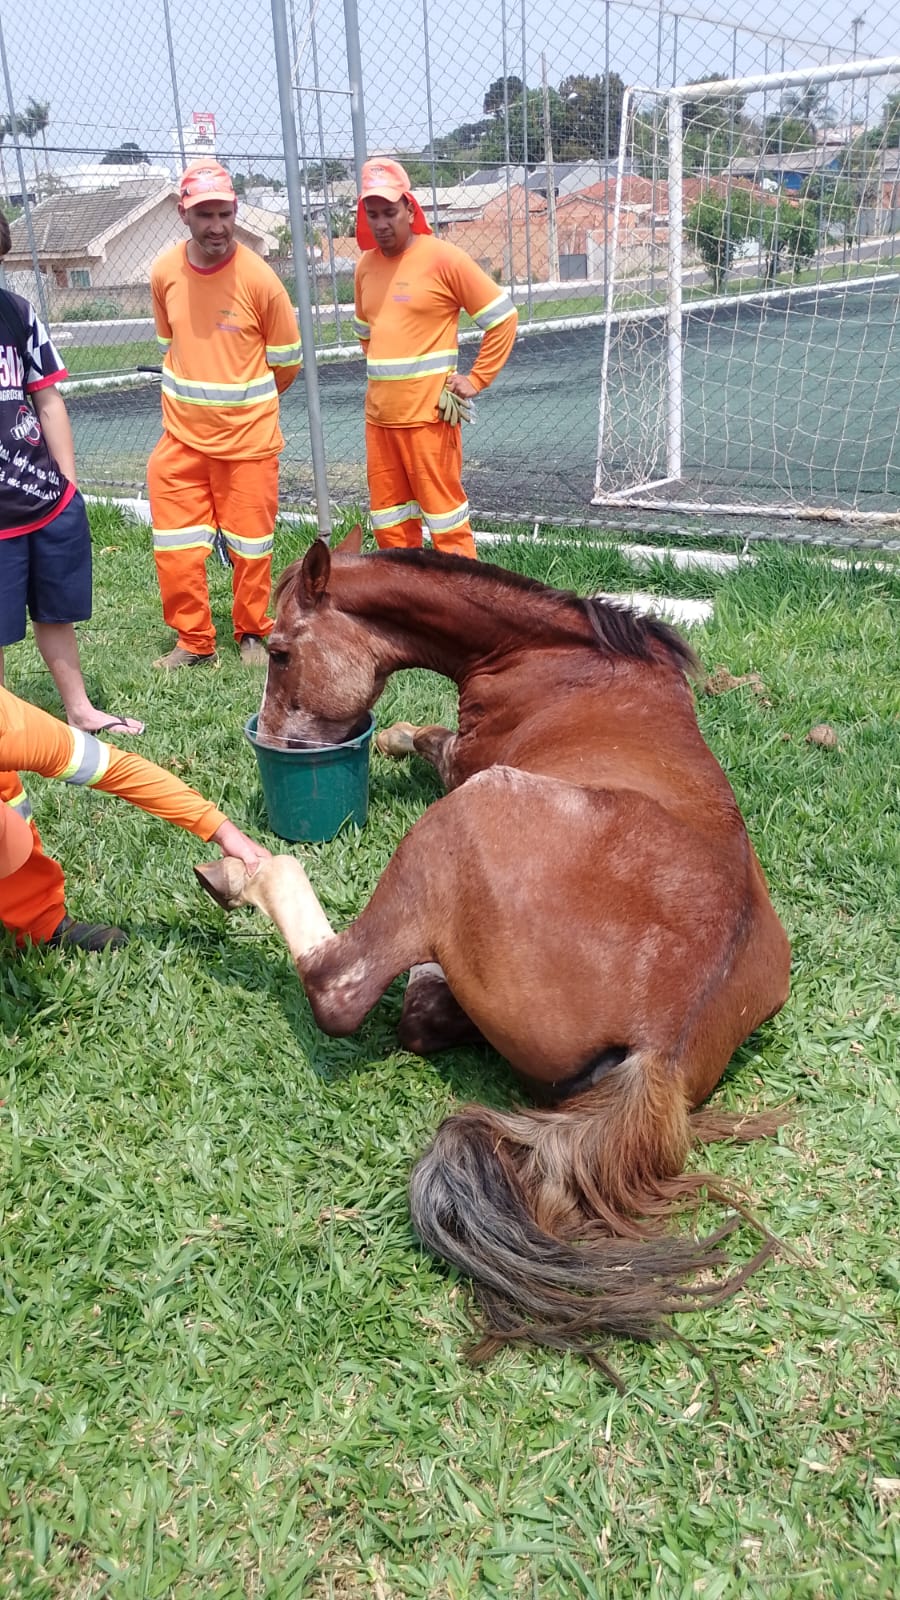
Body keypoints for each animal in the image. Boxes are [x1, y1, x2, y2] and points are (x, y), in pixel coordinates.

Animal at [196, 528, 784, 1376]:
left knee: (342, 986)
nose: (272, 741)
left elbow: (425, 739)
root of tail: (664, 1042)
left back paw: (244, 874)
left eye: (279, 652)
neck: (556, 659)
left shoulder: (463, 763)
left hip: (462, 814)